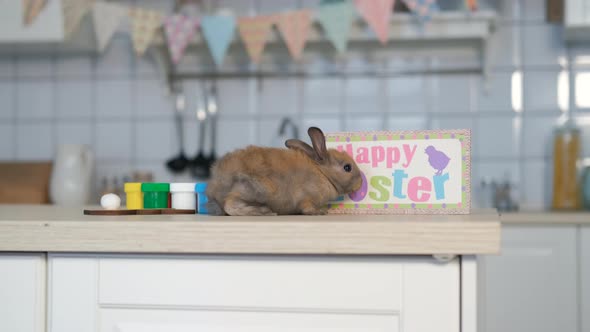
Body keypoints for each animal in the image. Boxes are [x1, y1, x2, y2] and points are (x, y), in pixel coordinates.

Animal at [208, 126, 366, 215]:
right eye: (347, 167)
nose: (360, 182)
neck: (323, 174)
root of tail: (218, 183)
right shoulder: (306, 198)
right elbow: (307, 208)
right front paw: (320, 212)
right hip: (256, 189)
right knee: (229, 205)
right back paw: (262, 211)